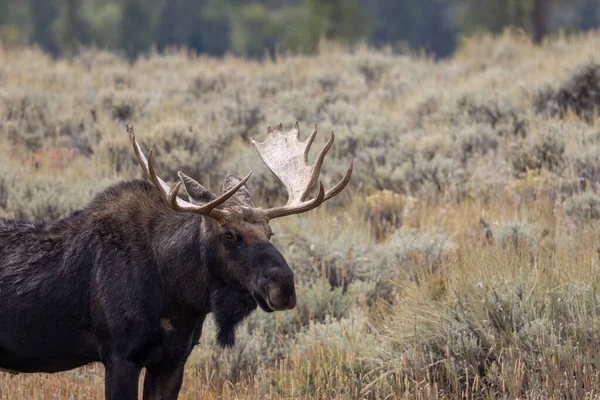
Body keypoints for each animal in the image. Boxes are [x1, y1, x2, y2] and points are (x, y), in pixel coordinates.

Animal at [0, 122, 352, 400]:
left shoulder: (172, 362)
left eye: (270, 231)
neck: (180, 295)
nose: (284, 287)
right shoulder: (119, 357)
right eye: (229, 235)